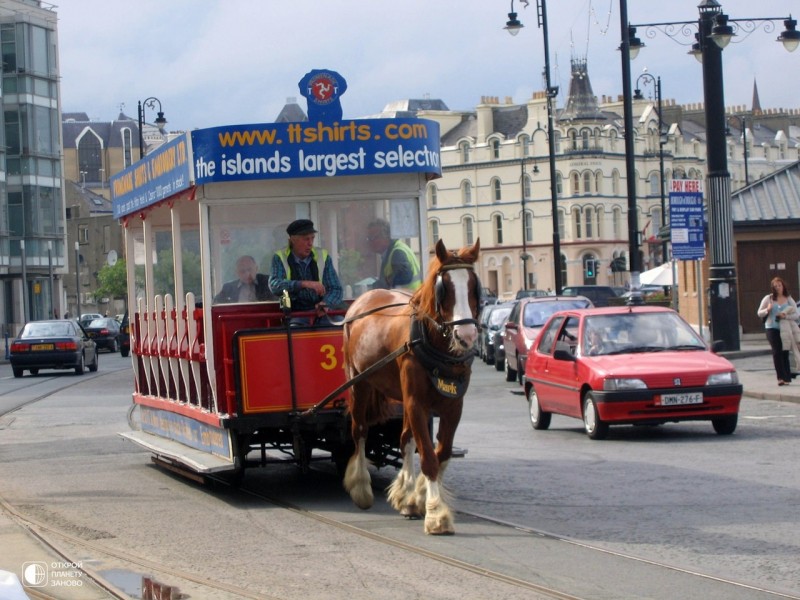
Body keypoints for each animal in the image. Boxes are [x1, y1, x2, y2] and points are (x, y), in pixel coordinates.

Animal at [340, 239, 478, 536]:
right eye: (444, 287)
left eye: (473, 285)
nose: (467, 336)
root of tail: (363, 299)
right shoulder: (416, 402)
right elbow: (428, 457)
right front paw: (436, 515)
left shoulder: (452, 405)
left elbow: (440, 453)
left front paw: (418, 496)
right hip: (359, 384)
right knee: (360, 431)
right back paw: (361, 487)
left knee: (404, 439)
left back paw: (407, 495)